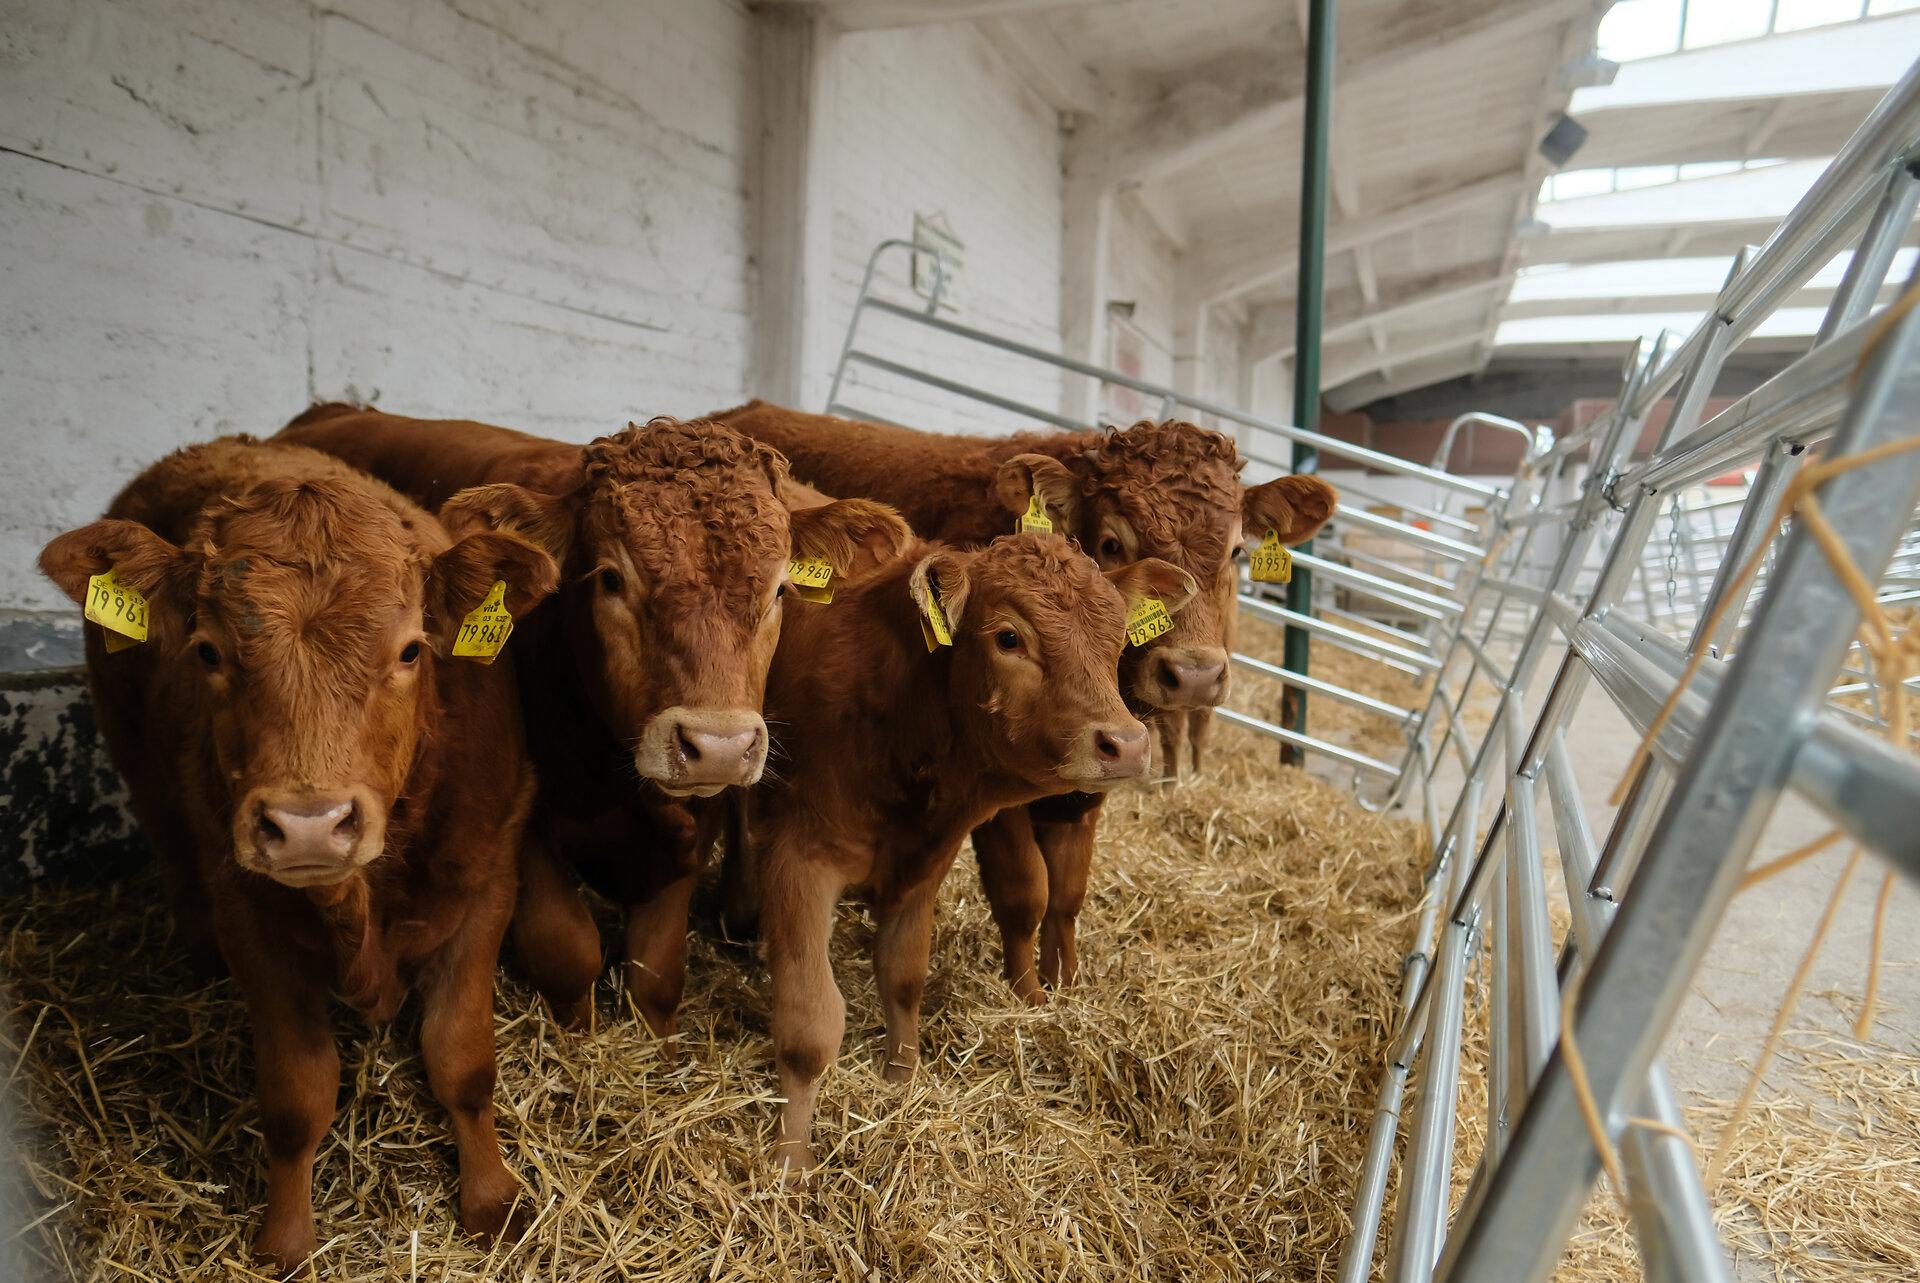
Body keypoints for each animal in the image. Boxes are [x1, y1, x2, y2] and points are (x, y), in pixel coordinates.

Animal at [37, 438, 560, 1270]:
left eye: (410, 649)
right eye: (207, 651)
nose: (309, 823)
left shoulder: (487, 885)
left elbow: (463, 1061)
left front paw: (494, 1202)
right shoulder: (249, 917)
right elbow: (296, 1095)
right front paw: (285, 1240)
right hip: (143, 775)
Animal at [277, 406, 910, 1034]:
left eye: (780, 589)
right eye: (610, 578)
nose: (720, 746)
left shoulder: (691, 828)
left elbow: (658, 970)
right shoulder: (525, 820)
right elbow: (565, 947)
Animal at [709, 402, 1337, 1003]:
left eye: (1236, 550)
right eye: (1113, 543)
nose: (1195, 676)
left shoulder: (1090, 783)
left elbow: (1069, 891)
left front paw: (1067, 983)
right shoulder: (993, 786)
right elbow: (1026, 891)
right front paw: (1027, 993)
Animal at [741, 528, 1196, 1177]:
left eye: (1115, 638)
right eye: (1008, 637)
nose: (1127, 743)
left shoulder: (927, 858)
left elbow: (904, 973)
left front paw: (901, 1079)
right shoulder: (797, 856)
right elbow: (809, 1025)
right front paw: (791, 1163)